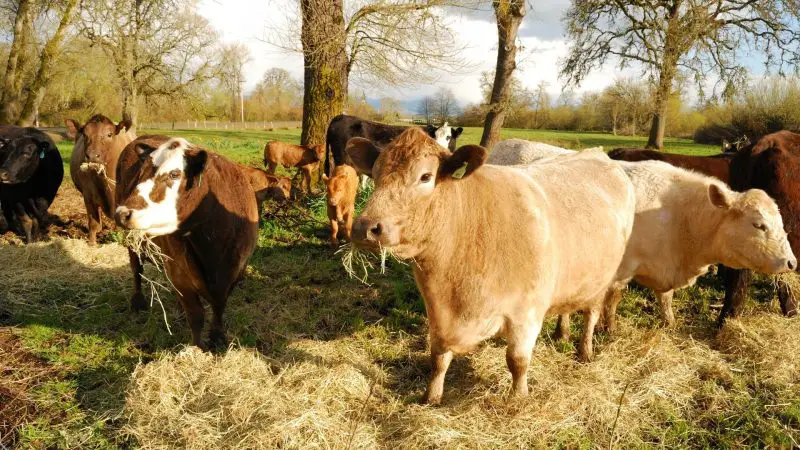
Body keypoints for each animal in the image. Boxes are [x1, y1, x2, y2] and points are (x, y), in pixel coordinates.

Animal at [66, 114, 134, 244]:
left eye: (109, 134)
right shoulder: (88, 195)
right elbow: (93, 223)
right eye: (85, 134)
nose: (92, 155)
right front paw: (92, 243)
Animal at [114, 134, 258, 348]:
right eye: (141, 172)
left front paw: (217, 337)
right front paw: (197, 348)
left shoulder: (235, 272)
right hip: (133, 242)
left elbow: (219, 306)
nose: (123, 213)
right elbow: (196, 316)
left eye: (175, 174)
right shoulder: (181, 276)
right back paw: (138, 301)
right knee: (136, 268)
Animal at [346, 127, 636, 404]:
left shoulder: (526, 312)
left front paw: (518, 399)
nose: (364, 227)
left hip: (603, 278)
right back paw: (561, 332)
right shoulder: (438, 315)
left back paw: (584, 351)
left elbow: (517, 361)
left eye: (425, 176)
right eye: (374, 174)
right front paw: (431, 397)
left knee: (591, 314)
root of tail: (598, 154)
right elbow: (438, 358)